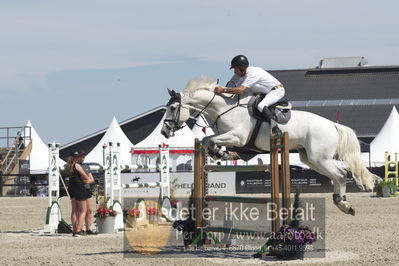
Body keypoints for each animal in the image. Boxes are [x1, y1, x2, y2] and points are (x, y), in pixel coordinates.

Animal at [162, 76, 382, 215]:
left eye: (172, 108)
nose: (164, 132)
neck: (224, 109)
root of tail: (333, 125)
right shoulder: (228, 137)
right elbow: (209, 140)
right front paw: (220, 154)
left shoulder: (238, 138)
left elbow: (210, 139)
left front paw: (220, 153)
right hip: (310, 158)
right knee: (340, 171)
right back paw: (341, 201)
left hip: (319, 157)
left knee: (341, 174)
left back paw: (344, 204)